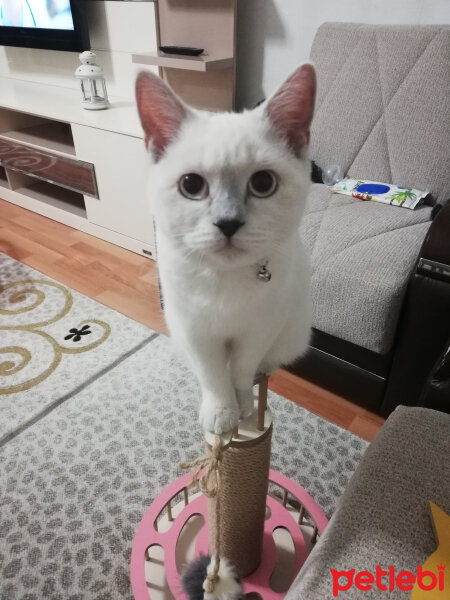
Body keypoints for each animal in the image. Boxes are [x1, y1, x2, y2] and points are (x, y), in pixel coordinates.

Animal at [135, 64, 314, 432]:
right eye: (191, 185)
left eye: (263, 183)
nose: (228, 223)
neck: (225, 281)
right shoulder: (194, 331)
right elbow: (214, 376)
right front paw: (220, 413)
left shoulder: (260, 328)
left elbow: (242, 370)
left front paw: (243, 407)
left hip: (292, 330)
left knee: (266, 363)